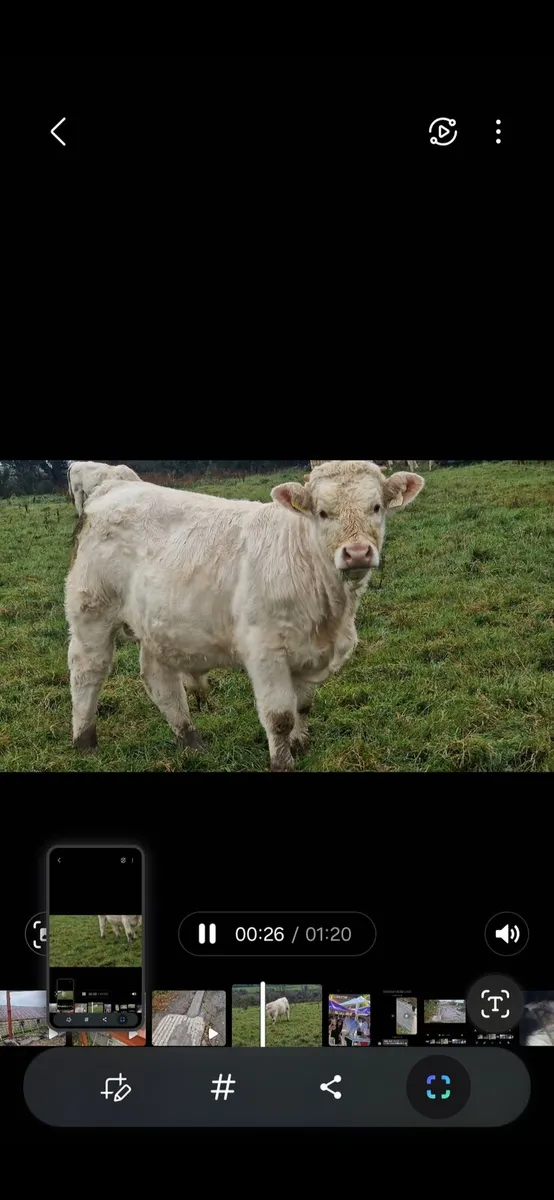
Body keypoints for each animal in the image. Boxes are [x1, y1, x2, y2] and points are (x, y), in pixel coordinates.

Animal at [65, 460, 425, 771]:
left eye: (376, 507)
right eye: (323, 513)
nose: (357, 553)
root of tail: (114, 484)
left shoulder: (308, 650)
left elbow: (302, 705)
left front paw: (300, 744)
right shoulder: (266, 650)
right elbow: (279, 715)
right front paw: (282, 762)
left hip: (157, 624)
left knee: (159, 680)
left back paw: (191, 740)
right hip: (92, 610)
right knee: (88, 671)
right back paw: (85, 741)